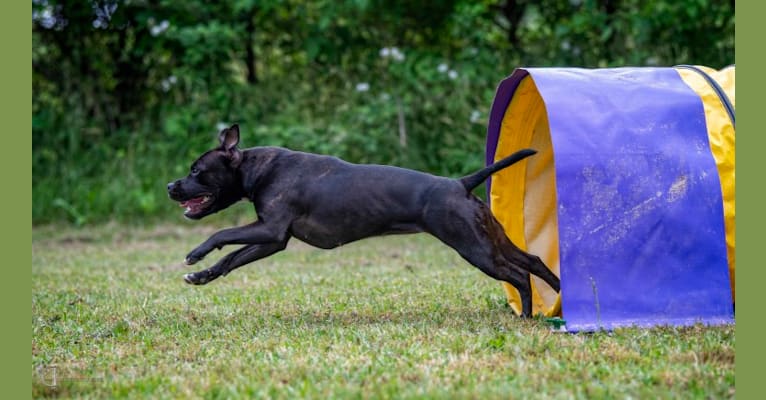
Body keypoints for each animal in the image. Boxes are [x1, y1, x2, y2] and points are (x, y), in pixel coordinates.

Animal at [168, 124, 560, 316]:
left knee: (518, 275)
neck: (256, 169)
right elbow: (232, 259)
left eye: (196, 170)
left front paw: (195, 254)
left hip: (474, 247)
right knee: (533, 261)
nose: (171, 185)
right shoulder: (273, 239)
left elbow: (222, 233)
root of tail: (460, 183)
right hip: (490, 239)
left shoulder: (269, 229)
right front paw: (201, 275)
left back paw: (527, 315)